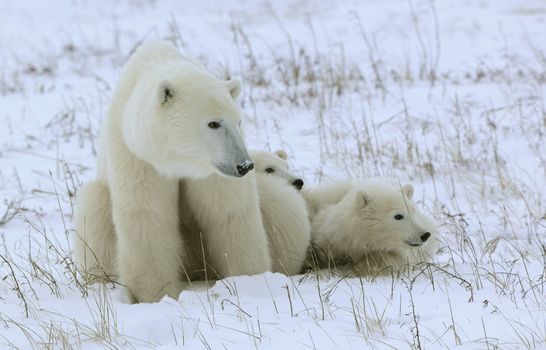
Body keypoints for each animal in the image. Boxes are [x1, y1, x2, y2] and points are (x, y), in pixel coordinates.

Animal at [73, 41, 266, 304]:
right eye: (213, 123)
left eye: (239, 122)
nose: (244, 165)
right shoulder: (138, 157)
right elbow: (148, 216)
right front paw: (158, 294)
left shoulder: (211, 173)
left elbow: (228, 213)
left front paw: (249, 281)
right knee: (94, 209)